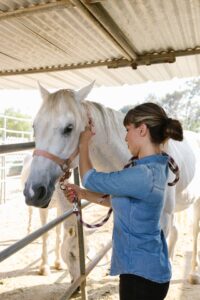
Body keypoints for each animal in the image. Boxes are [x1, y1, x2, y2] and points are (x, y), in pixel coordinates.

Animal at [23, 82, 200, 284]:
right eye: (35, 126)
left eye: (69, 128)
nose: (33, 192)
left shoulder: (162, 219)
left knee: (194, 232)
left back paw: (193, 274)